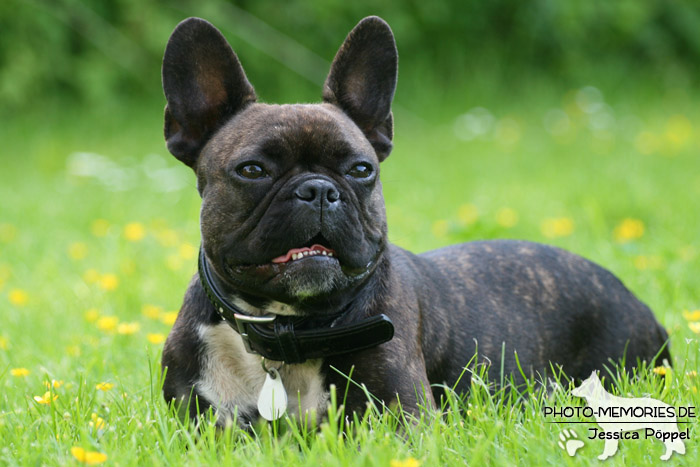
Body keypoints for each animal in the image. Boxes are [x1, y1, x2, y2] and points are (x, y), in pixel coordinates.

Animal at [160, 16, 672, 428]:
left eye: (361, 169)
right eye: (252, 170)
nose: (319, 190)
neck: (289, 332)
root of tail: (636, 300)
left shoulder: (402, 418)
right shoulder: (198, 423)